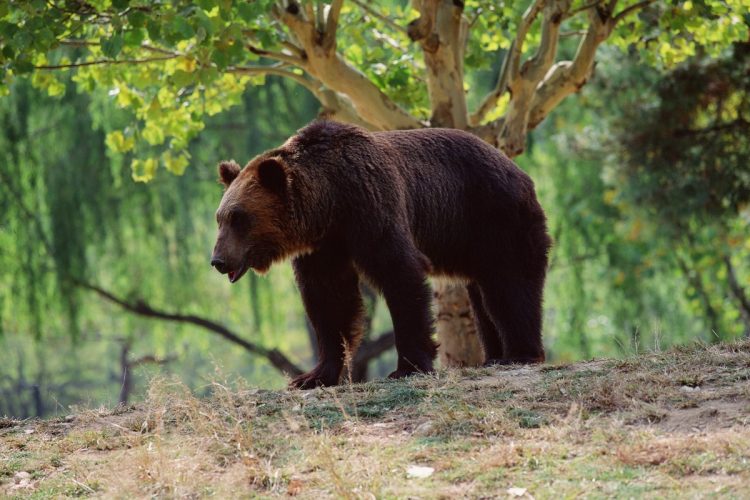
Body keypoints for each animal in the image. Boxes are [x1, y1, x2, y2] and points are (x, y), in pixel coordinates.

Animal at [212, 121, 552, 390]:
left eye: (239, 217)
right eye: (220, 218)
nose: (218, 261)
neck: (330, 201)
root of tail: (519, 171)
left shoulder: (371, 205)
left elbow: (400, 273)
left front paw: (408, 366)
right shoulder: (323, 246)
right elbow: (329, 300)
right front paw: (312, 376)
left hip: (494, 216)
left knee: (510, 283)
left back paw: (519, 353)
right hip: (469, 241)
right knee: (483, 293)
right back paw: (493, 356)